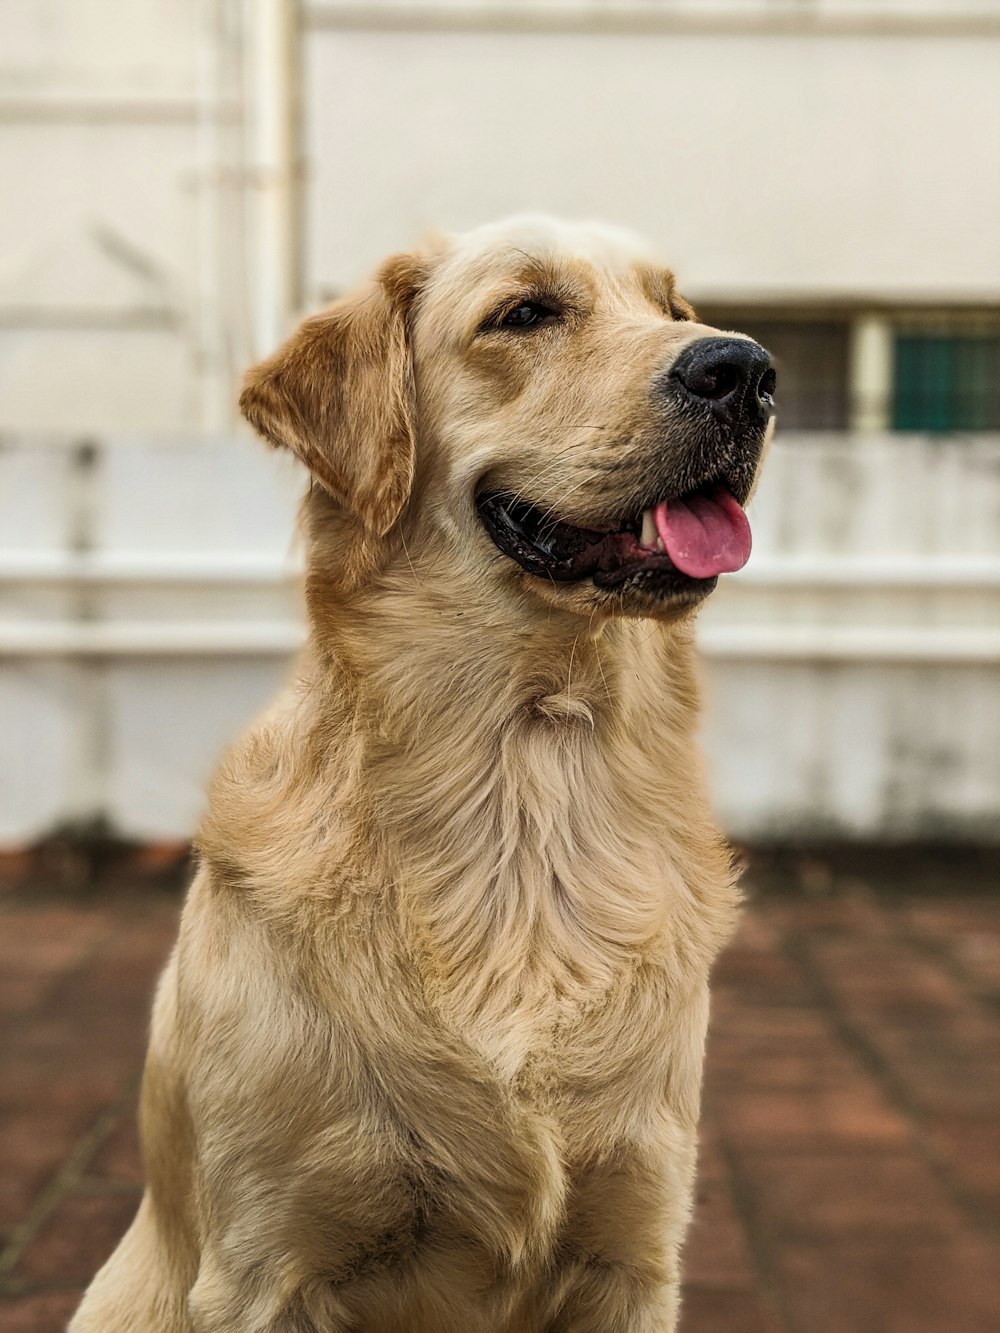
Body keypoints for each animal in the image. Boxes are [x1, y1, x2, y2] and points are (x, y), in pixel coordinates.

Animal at [72, 213, 773, 1327]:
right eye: (525, 312)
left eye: (672, 308)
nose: (744, 370)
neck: (524, 780)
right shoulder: (271, 1265)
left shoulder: (634, 1245)